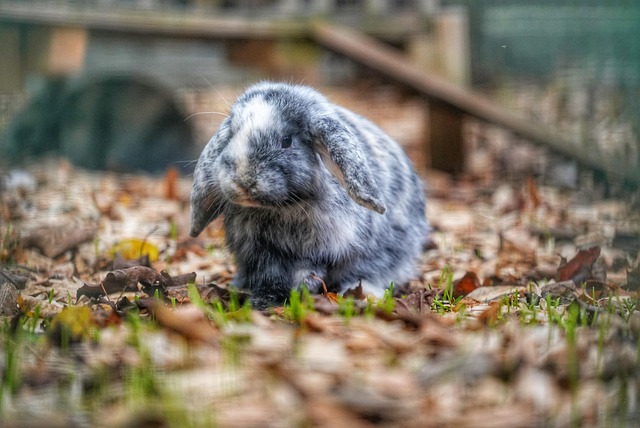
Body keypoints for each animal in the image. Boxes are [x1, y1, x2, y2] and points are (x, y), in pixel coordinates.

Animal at [190, 82, 428, 308]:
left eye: (286, 141)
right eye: (231, 134)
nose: (243, 180)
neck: (284, 207)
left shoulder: (320, 251)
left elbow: (307, 273)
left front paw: (298, 294)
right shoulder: (262, 253)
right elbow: (269, 277)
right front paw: (264, 301)